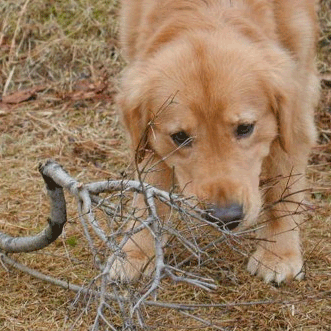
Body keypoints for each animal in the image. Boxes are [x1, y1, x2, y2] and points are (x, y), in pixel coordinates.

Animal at [110, 0, 320, 286]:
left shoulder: (296, 108)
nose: (226, 218)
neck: (206, 9)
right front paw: (135, 252)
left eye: (245, 128)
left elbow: (283, 189)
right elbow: (149, 192)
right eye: (180, 136)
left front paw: (278, 254)